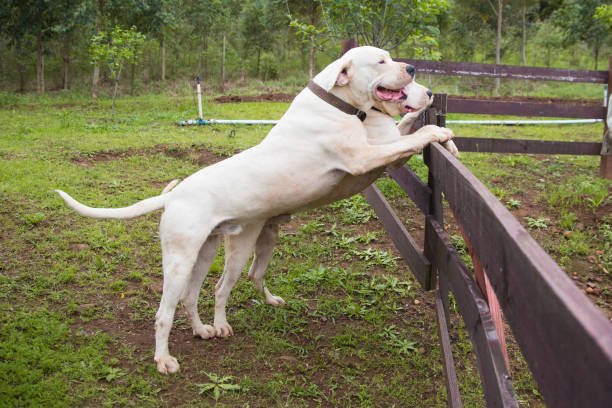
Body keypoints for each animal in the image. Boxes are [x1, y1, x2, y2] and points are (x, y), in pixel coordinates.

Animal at [56, 46, 454, 374]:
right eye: (382, 61)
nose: (413, 68)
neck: (336, 104)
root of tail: (175, 196)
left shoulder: (381, 152)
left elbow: (407, 130)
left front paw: (439, 135)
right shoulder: (364, 159)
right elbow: (415, 135)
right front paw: (439, 133)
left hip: (210, 252)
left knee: (194, 295)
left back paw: (205, 329)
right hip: (184, 260)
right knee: (169, 311)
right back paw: (166, 358)